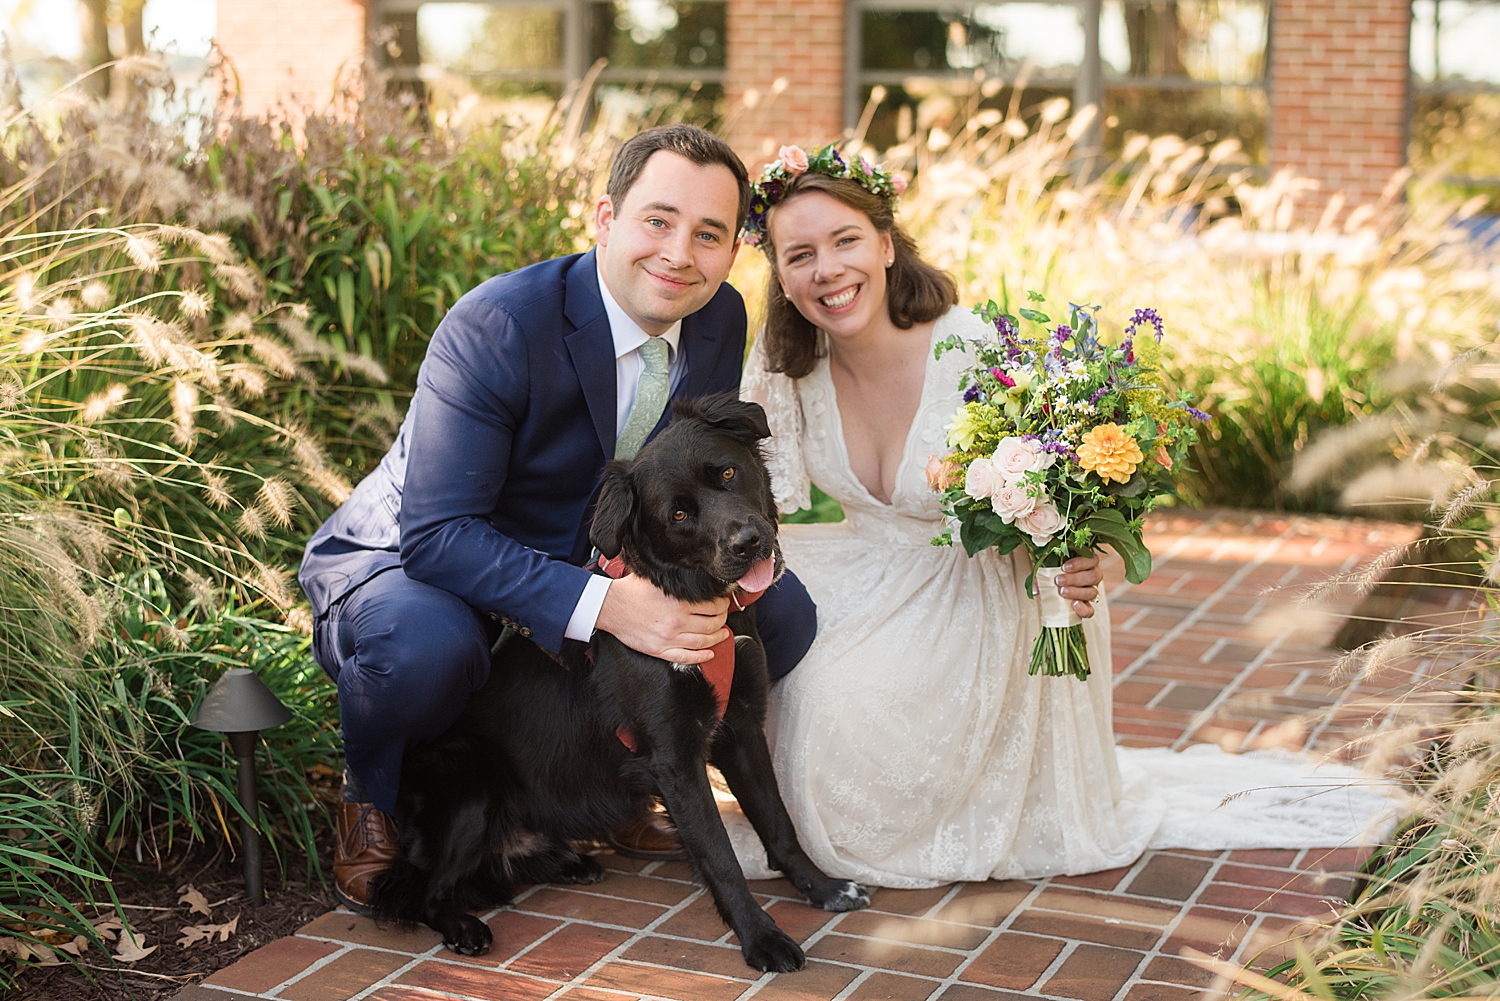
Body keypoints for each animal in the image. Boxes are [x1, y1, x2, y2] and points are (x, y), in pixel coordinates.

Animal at [367, 396, 876, 972]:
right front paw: (761, 939)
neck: (691, 600)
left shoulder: (741, 727)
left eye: (727, 473)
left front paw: (823, 887)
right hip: (473, 780)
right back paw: (464, 926)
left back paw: (569, 863)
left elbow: (778, 822)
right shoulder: (674, 759)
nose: (749, 543)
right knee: (430, 892)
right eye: (678, 515)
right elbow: (720, 856)